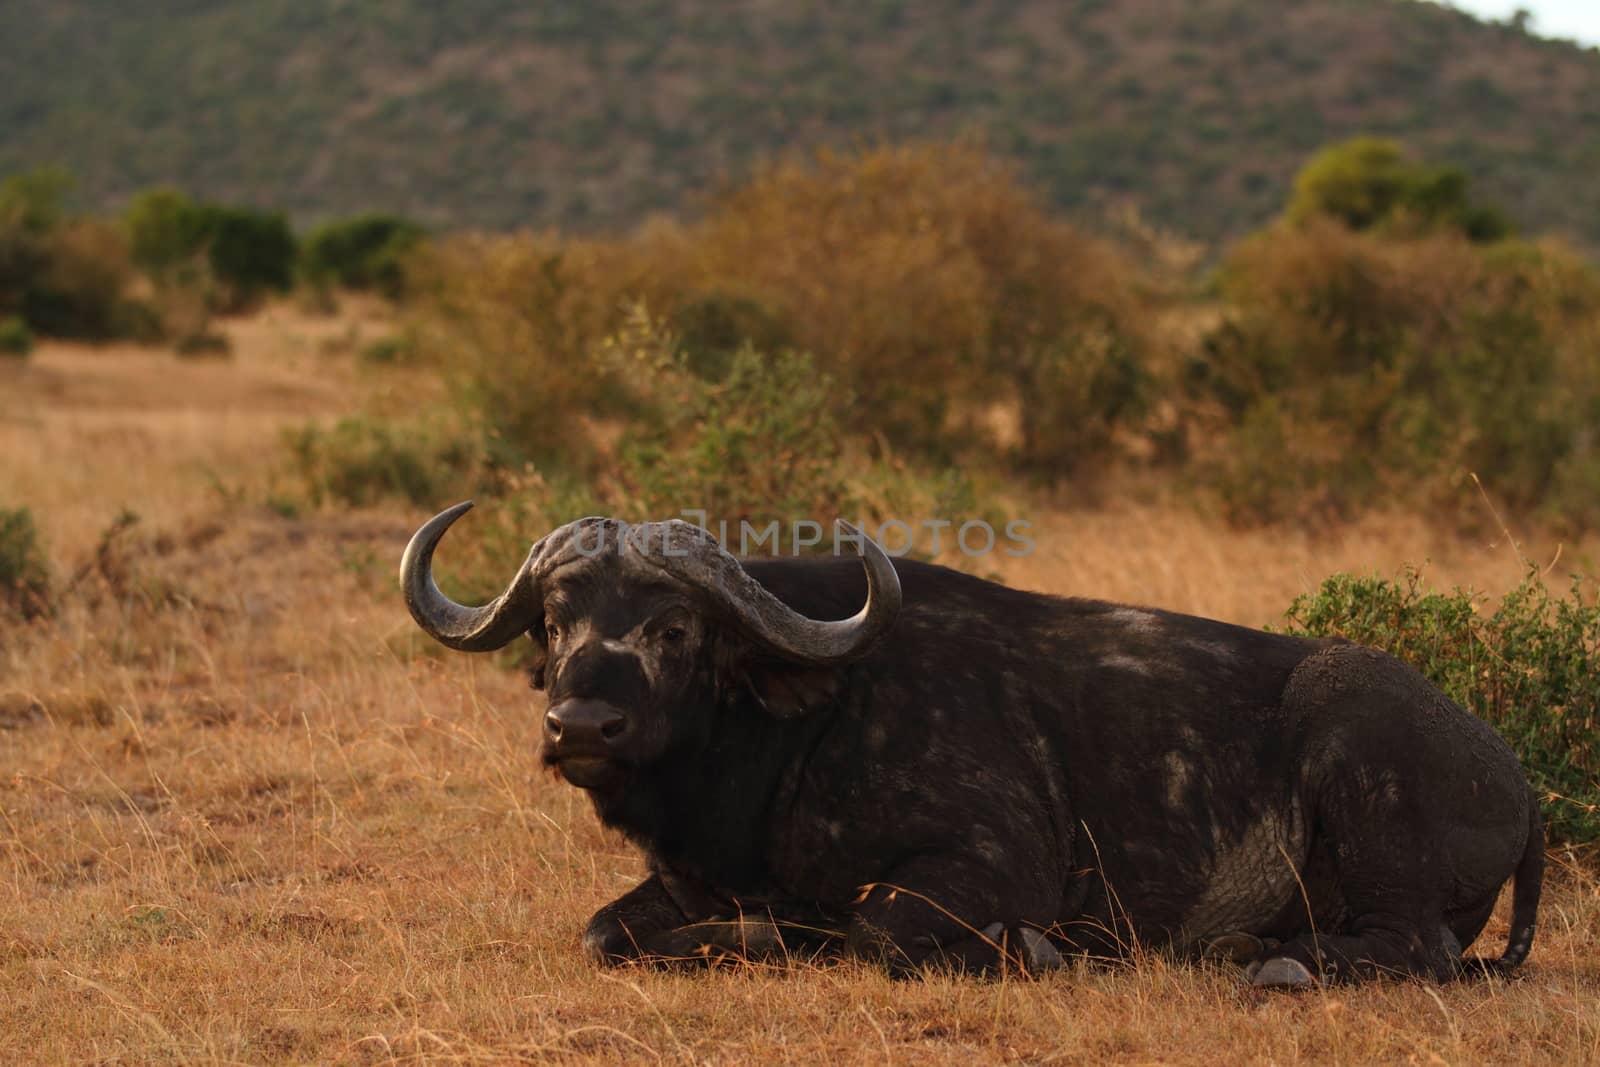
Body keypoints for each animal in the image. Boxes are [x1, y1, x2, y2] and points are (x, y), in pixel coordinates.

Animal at [396, 505, 1536, 991]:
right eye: (554, 623)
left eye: (673, 629)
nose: (580, 728)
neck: (800, 727)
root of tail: (1517, 783)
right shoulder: (680, 884)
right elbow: (602, 931)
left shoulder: (987, 864)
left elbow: (865, 932)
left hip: (1355, 742)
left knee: (1412, 948)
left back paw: (1266, 957)